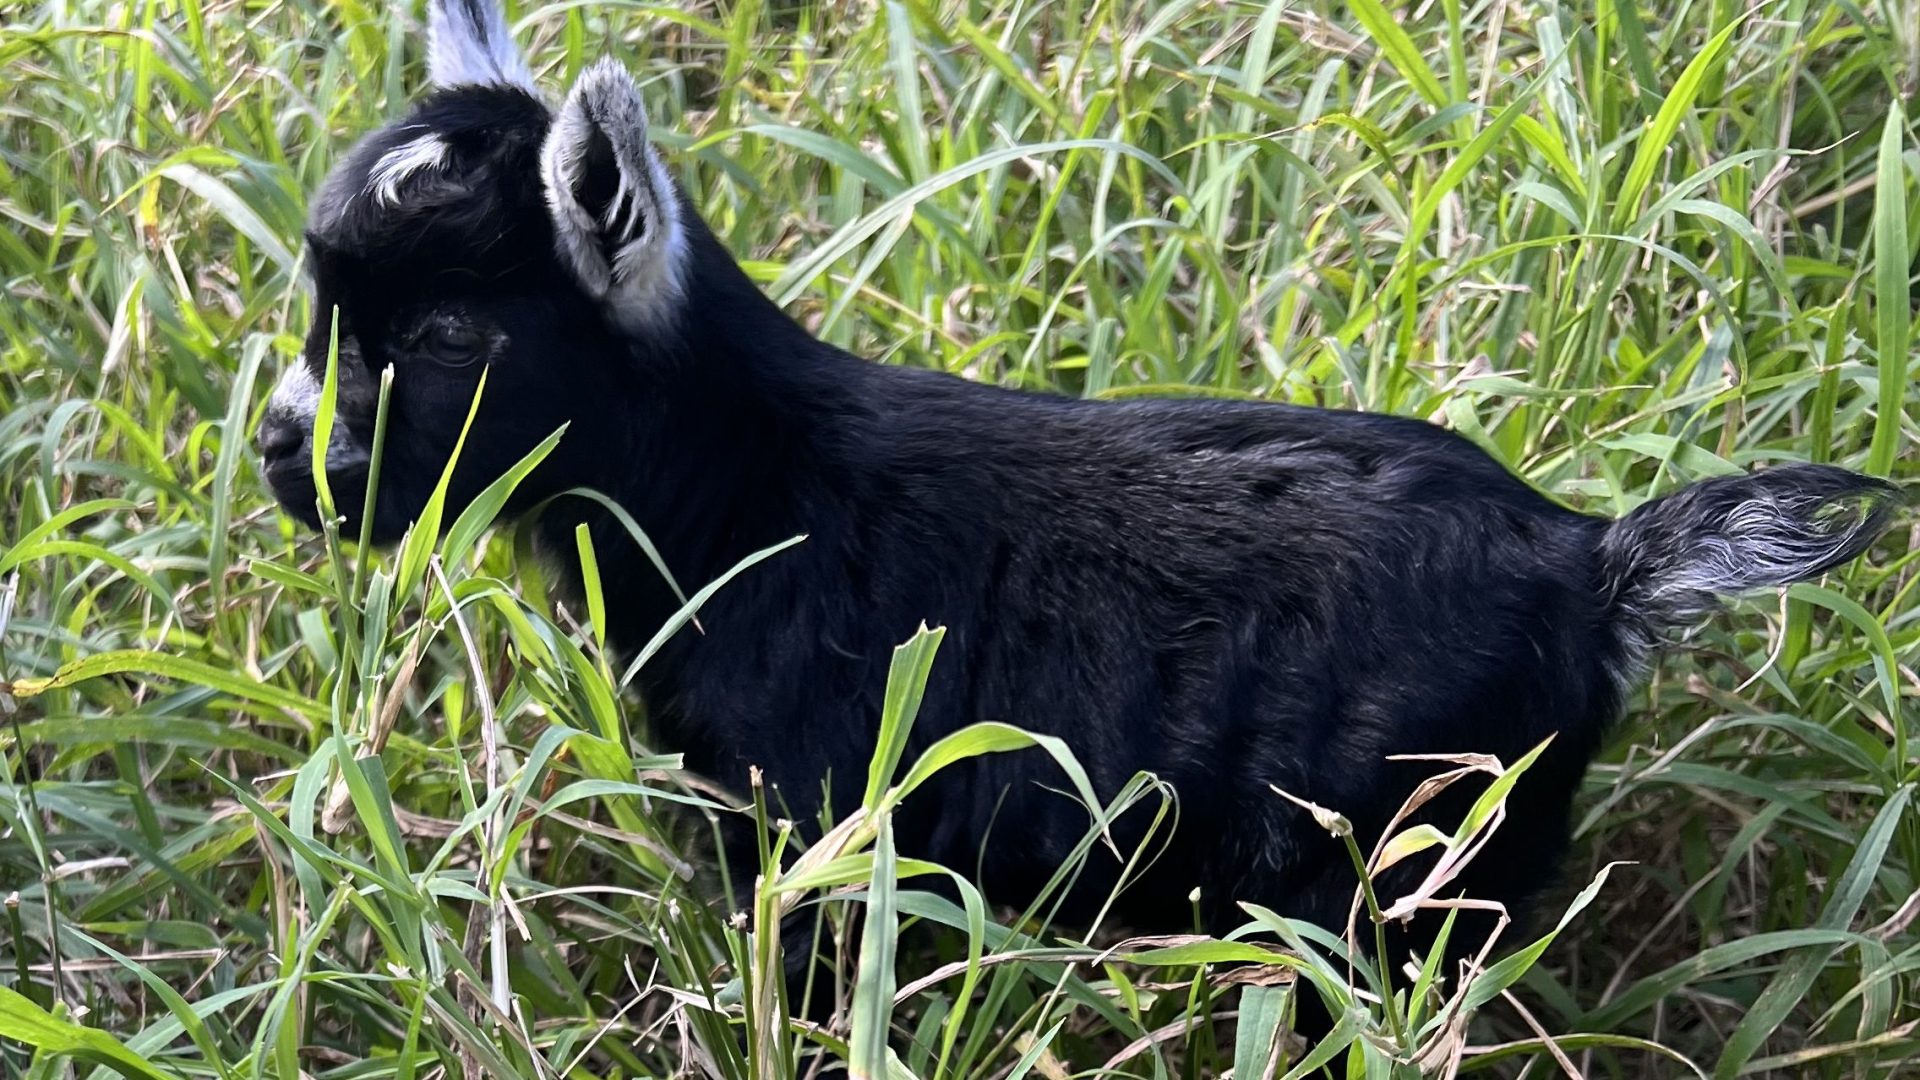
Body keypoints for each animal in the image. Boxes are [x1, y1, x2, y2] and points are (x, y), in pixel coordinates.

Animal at [256, 0, 1899, 986]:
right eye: (324, 306)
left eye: (449, 339)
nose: (285, 458)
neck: (750, 487)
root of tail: (1588, 563)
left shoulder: (818, 841)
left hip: (1405, 868)